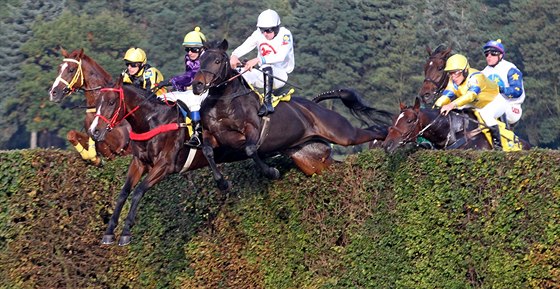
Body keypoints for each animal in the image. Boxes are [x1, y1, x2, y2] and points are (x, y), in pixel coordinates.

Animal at [190, 39, 392, 190]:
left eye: (217, 61)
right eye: (200, 60)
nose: (197, 85)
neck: (224, 102)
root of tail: (313, 105)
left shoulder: (252, 130)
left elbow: (250, 149)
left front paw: (272, 172)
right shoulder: (210, 134)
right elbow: (207, 152)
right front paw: (222, 183)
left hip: (341, 133)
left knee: (374, 130)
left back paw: (390, 140)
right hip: (312, 160)